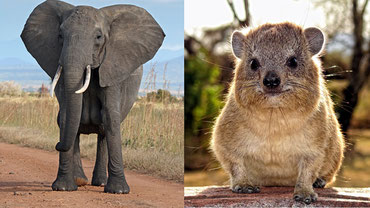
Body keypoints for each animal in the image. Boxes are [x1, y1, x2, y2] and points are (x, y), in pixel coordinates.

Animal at [20, 0, 164, 193]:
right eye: (60, 35)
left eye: (98, 37)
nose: (57, 145)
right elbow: (66, 116)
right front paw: (63, 188)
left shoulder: (113, 67)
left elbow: (110, 117)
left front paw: (118, 191)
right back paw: (80, 180)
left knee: (103, 131)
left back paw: (100, 183)